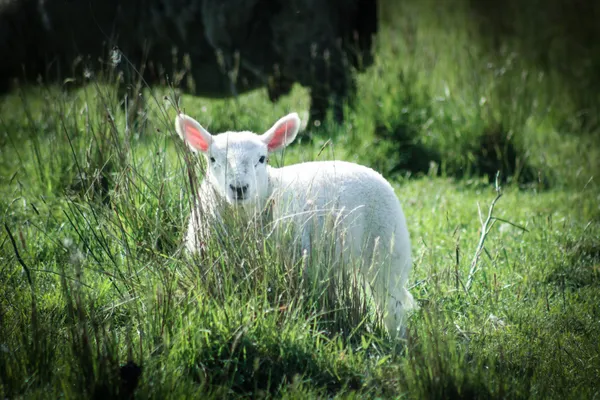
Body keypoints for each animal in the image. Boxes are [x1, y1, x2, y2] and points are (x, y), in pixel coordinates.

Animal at [176, 111, 414, 336]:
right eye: (212, 159)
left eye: (262, 159)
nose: (239, 188)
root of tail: (373, 171)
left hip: (387, 251)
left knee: (391, 304)